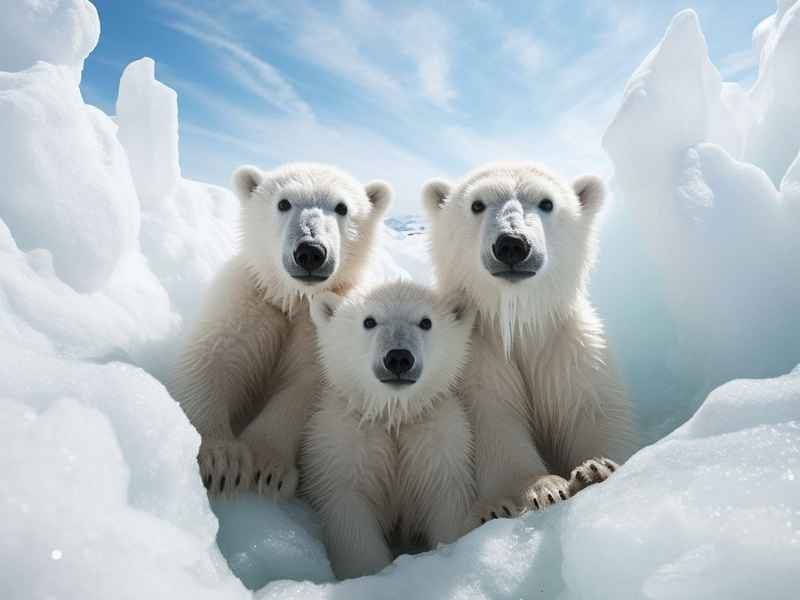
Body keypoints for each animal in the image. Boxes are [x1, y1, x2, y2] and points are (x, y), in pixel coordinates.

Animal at [173, 162, 391, 498]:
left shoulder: (319, 332)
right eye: (284, 202)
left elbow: (303, 389)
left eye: (342, 207)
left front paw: (266, 468)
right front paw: (221, 460)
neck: (295, 300)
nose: (311, 251)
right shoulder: (251, 299)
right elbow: (211, 360)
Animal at [302, 281, 477, 580]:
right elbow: (351, 517)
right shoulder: (344, 444)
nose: (398, 358)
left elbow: (446, 503)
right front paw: (369, 573)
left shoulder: (437, 441)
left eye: (426, 322)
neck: (393, 415)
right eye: (369, 321)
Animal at [422, 161, 634, 523]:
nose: (512, 244)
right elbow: (497, 424)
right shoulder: (479, 361)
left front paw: (594, 468)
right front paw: (540, 490)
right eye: (477, 204)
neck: (520, 327)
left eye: (547, 202)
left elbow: (594, 412)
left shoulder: (572, 352)